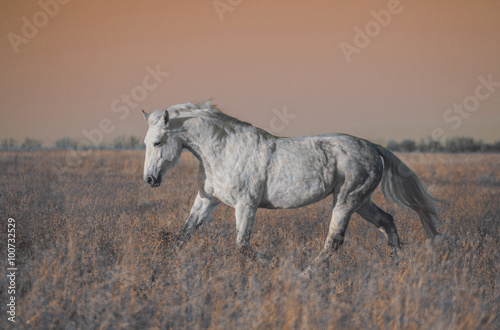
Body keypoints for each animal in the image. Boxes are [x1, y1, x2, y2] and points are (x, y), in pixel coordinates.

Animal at [140, 100, 438, 266]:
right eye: (145, 143)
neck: (224, 151)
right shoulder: (206, 200)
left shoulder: (246, 206)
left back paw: (306, 275)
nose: (150, 179)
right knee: (387, 221)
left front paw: (269, 266)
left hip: (346, 200)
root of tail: (373, 147)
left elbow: (243, 245)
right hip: (362, 202)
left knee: (334, 242)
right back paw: (397, 263)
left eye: (157, 142)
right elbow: (183, 235)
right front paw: (163, 266)